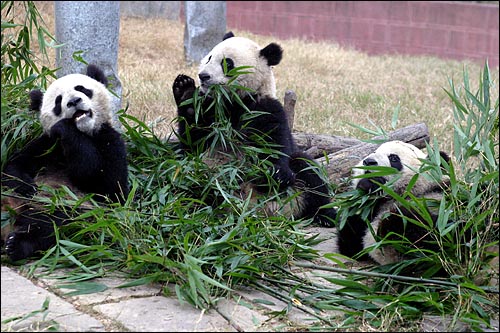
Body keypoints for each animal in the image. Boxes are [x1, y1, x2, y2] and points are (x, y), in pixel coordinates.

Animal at [0, 63, 129, 260]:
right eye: (58, 101)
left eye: (82, 89)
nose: (74, 102)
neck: (84, 132)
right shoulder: (46, 145)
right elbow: (14, 166)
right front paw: (27, 187)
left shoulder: (110, 141)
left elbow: (109, 187)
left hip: (64, 205)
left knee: (48, 224)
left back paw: (17, 244)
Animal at [171, 31, 336, 226]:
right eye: (209, 57)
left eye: (227, 63)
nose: (203, 76)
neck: (234, 101)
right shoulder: (213, 112)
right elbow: (194, 141)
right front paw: (185, 91)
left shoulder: (264, 108)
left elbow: (275, 143)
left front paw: (277, 174)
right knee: (191, 178)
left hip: (296, 191)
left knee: (307, 169)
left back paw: (325, 215)